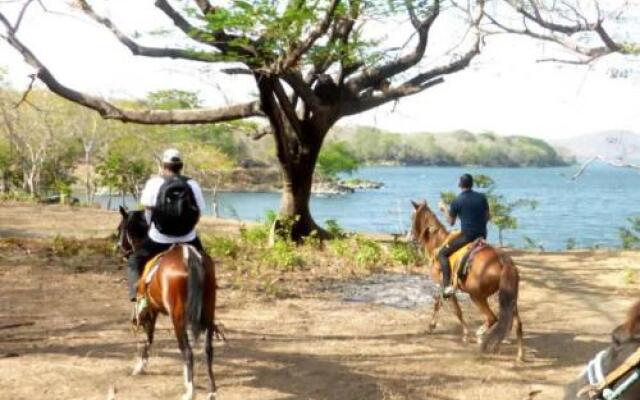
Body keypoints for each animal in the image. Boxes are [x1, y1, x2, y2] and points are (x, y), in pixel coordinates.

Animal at [119, 208, 219, 398]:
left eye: (120, 228)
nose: (120, 248)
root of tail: (189, 256)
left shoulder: (150, 311)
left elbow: (148, 337)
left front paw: (140, 366)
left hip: (177, 317)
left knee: (187, 350)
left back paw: (190, 391)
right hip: (208, 313)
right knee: (207, 350)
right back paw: (211, 391)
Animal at [410, 200, 524, 360]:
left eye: (412, 217)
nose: (410, 237)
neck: (438, 242)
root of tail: (502, 261)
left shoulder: (444, 285)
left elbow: (453, 309)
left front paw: (463, 334)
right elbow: (442, 305)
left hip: (476, 295)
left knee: (492, 318)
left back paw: (480, 336)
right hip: (509, 297)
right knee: (517, 324)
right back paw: (519, 354)